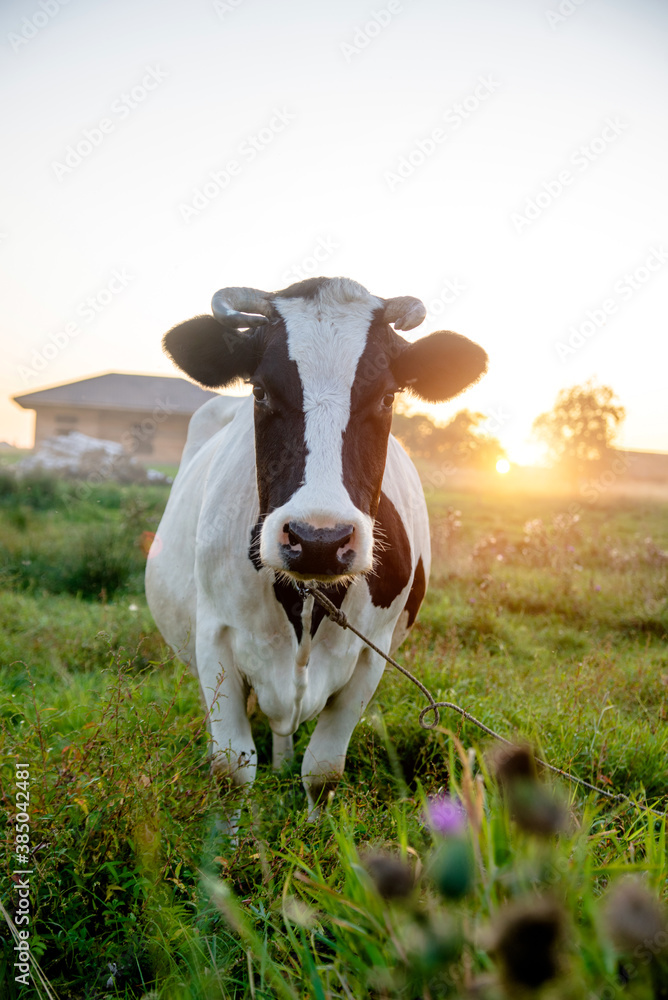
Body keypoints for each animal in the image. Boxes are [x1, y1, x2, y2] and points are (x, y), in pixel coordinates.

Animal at [146, 276, 486, 820]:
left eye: (387, 397)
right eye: (260, 390)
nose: (318, 540)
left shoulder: (371, 655)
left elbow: (323, 771)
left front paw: (315, 831)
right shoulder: (214, 639)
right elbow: (231, 768)